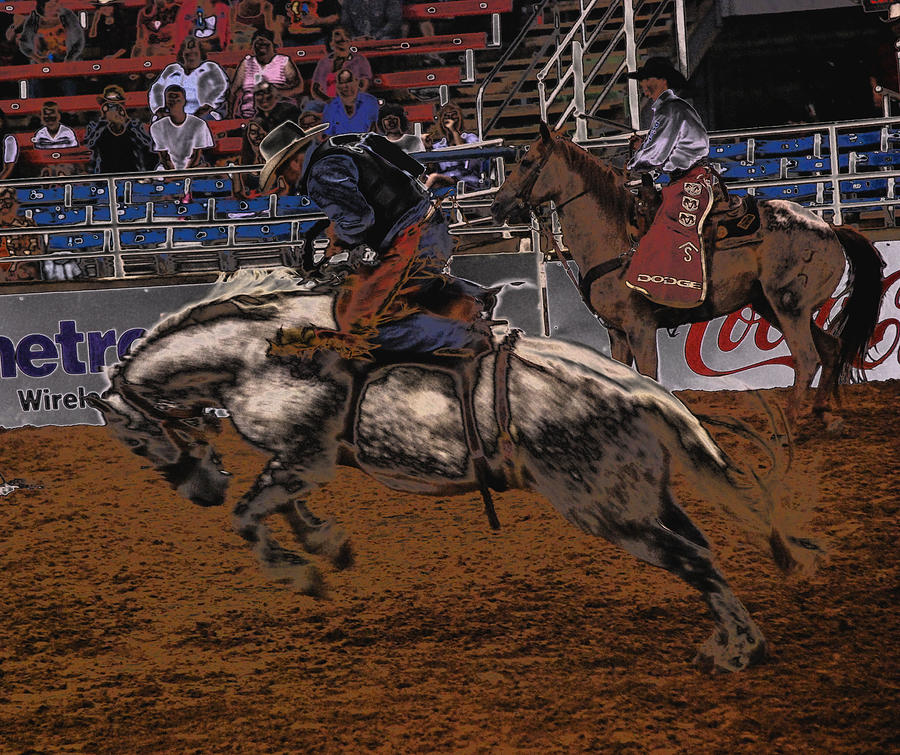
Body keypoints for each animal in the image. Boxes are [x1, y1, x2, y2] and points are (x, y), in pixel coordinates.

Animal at [488, 122, 884, 422]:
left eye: (528, 161)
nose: (496, 205)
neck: (616, 235)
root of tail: (828, 227)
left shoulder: (640, 327)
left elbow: (648, 376)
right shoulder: (617, 332)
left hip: (790, 306)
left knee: (807, 357)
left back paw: (792, 421)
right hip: (771, 306)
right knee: (830, 349)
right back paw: (820, 415)